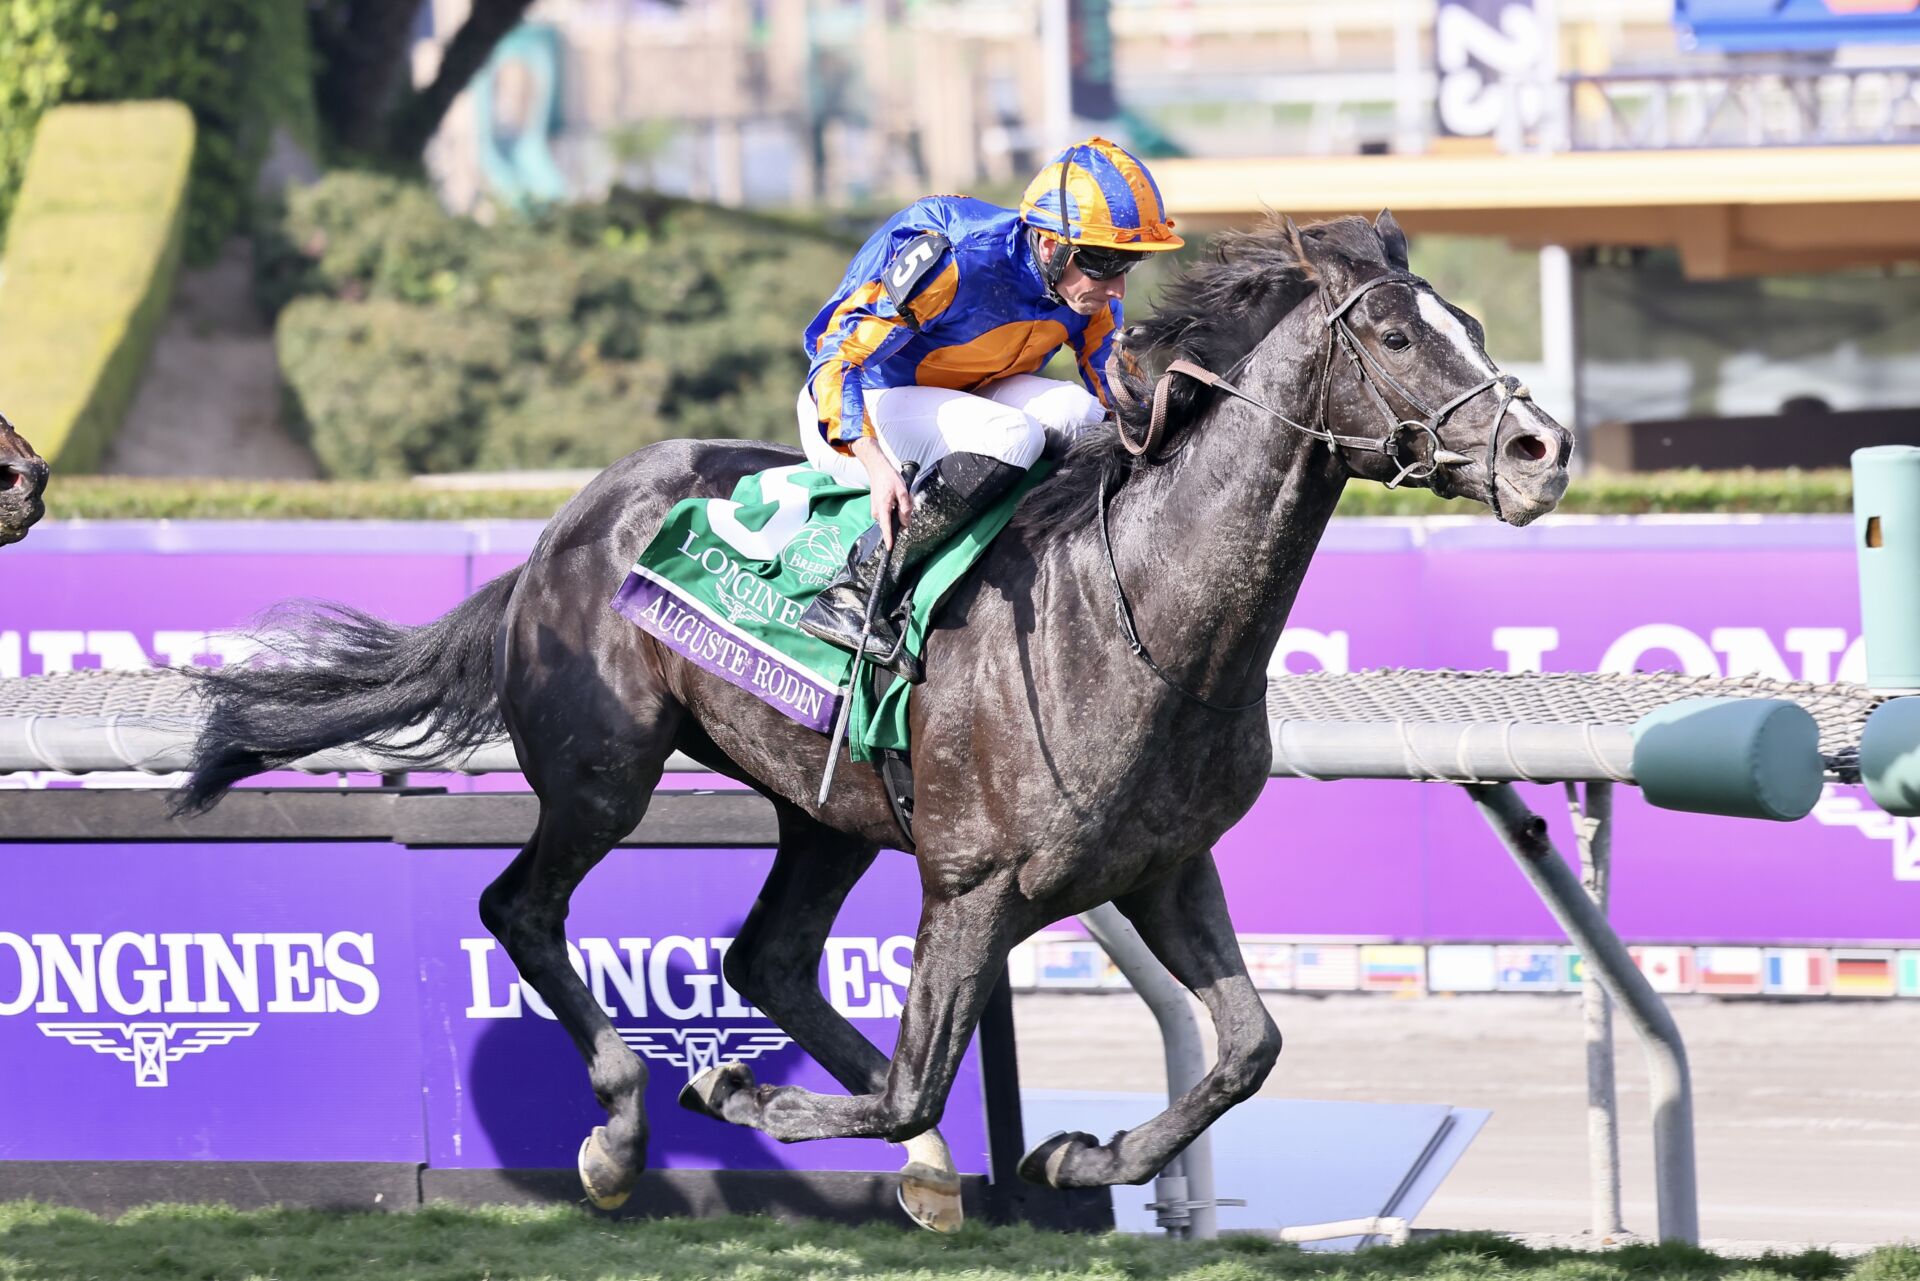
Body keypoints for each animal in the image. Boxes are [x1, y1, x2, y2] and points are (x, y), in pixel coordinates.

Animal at [176, 211, 1572, 1225]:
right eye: (1392, 335)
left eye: (1467, 321)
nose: (1541, 451)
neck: (1141, 621)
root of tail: (563, 525)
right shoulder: (973, 885)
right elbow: (911, 1084)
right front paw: (745, 1097)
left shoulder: (1169, 864)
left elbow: (1248, 1049)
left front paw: (1071, 1160)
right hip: (601, 774)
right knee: (521, 907)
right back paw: (623, 1133)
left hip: (826, 809)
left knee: (769, 960)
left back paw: (932, 1174)